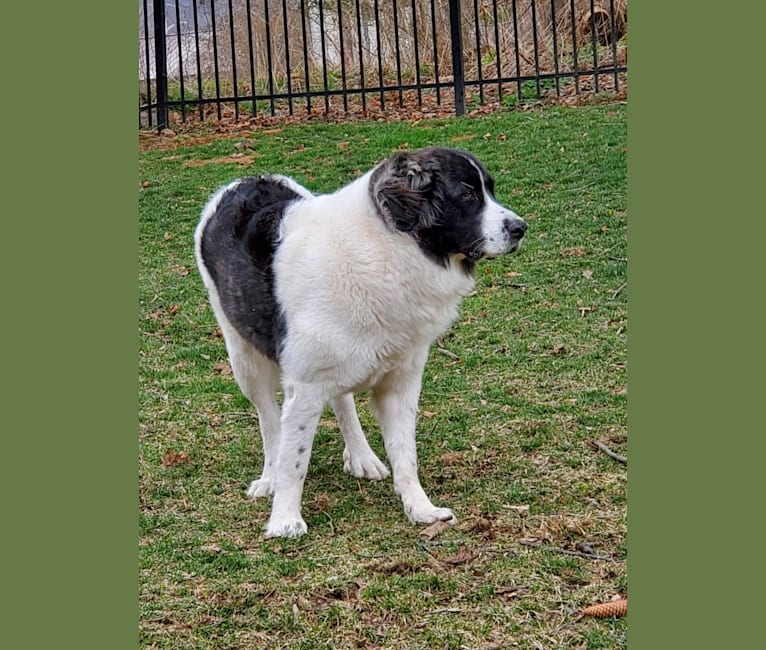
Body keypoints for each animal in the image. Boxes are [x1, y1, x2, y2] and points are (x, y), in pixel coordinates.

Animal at [195, 147, 524, 536]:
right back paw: (269, 477)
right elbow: (294, 459)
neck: (389, 248)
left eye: (490, 190)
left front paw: (420, 507)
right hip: (243, 358)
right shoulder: (304, 386)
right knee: (269, 420)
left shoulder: (400, 382)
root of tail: (245, 181)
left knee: (342, 401)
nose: (520, 228)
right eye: (468, 195)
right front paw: (285, 518)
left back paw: (362, 456)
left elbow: (405, 453)